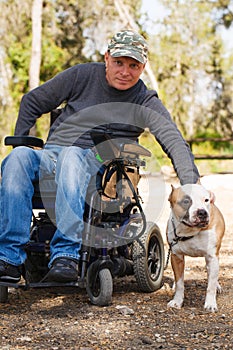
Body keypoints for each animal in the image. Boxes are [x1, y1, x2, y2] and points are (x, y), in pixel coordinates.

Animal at [167, 183, 225, 312]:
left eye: (206, 200)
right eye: (186, 201)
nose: (202, 212)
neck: (189, 231)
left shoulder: (212, 257)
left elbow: (211, 285)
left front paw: (210, 304)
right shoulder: (176, 257)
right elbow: (180, 282)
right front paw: (177, 301)